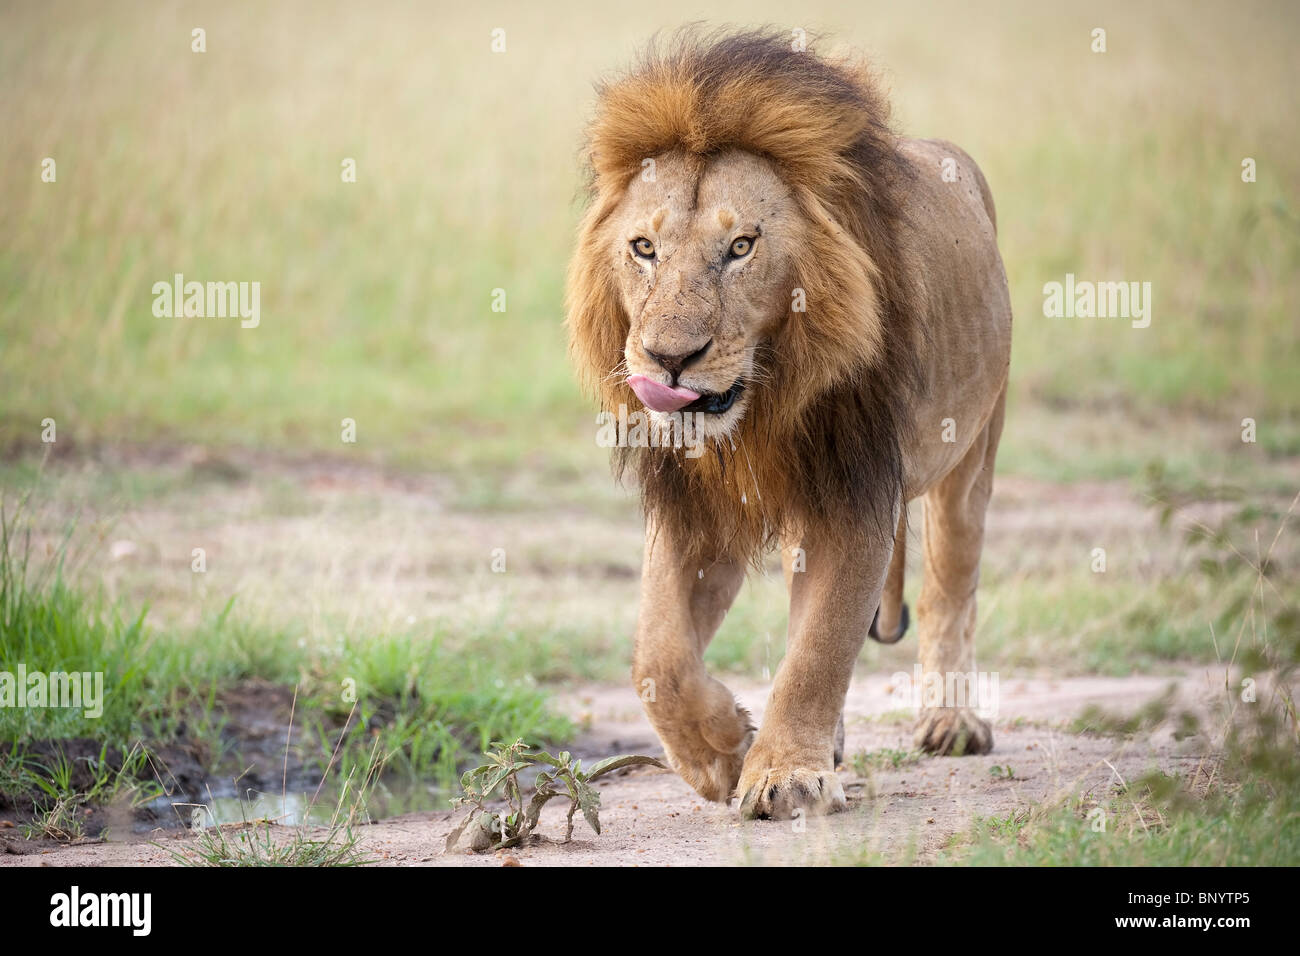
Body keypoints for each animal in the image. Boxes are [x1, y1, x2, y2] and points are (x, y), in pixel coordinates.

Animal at [565, 30, 1012, 819]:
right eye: (644, 248)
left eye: (741, 246)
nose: (669, 359)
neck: (759, 412)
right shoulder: (696, 508)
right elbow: (658, 656)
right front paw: (722, 753)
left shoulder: (858, 496)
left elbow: (820, 647)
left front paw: (783, 775)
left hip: (972, 452)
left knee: (950, 584)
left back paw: (951, 722)